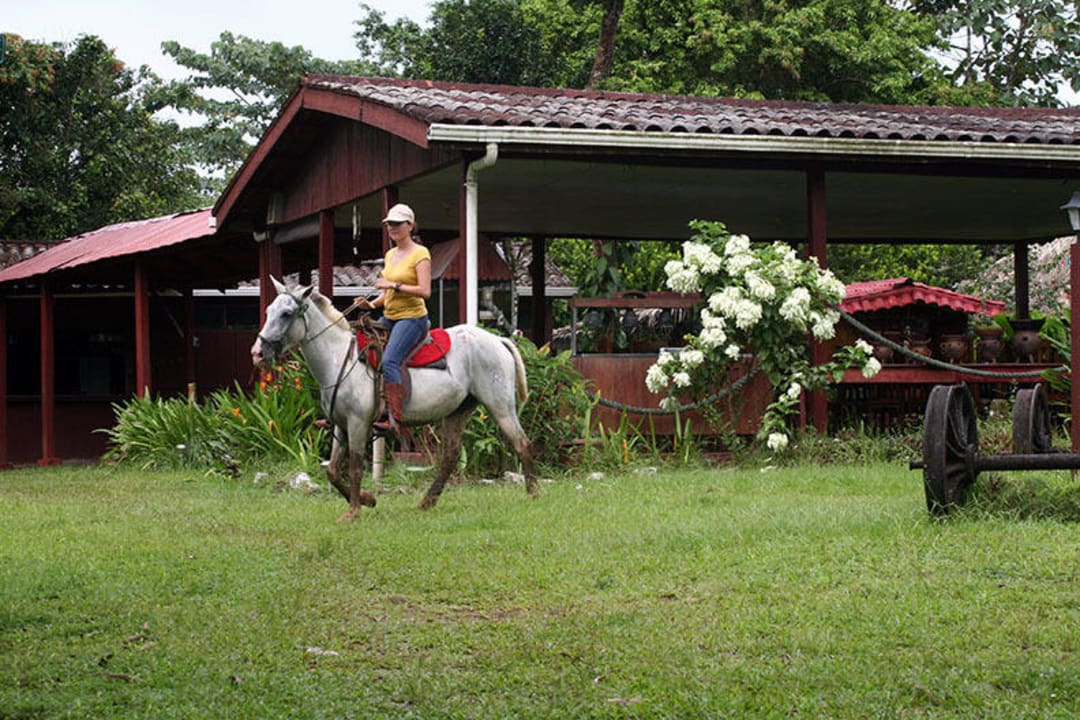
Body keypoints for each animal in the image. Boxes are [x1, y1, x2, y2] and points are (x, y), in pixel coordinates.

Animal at [250, 277, 537, 521]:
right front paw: (367, 499)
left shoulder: (358, 422)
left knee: (522, 443)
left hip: (501, 406)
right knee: (451, 456)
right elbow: (331, 470)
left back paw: (533, 493)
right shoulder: (341, 425)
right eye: (268, 311)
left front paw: (354, 511)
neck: (340, 357)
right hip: (458, 411)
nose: (257, 353)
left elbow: (355, 467)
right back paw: (426, 502)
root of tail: (498, 340)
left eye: (287, 314)